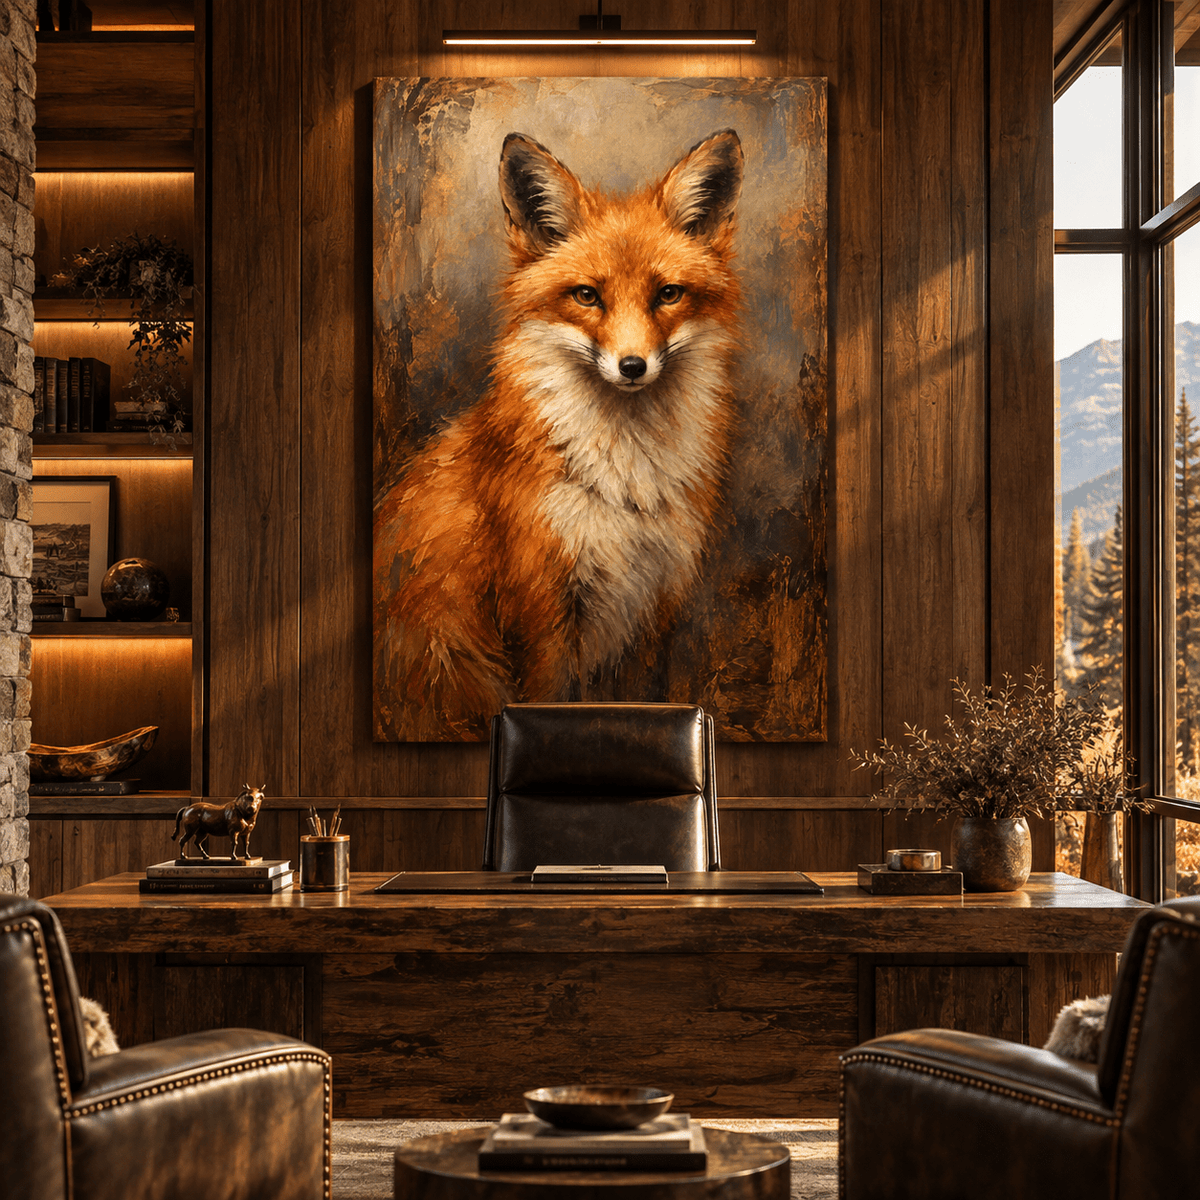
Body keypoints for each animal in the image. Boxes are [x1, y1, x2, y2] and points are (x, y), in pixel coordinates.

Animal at [374, 128, 744, 740]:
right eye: (587, 295)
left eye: (667, 294)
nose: (633, 366)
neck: (626, 490)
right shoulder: (541, 615)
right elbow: (549, 701)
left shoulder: (650, 610)